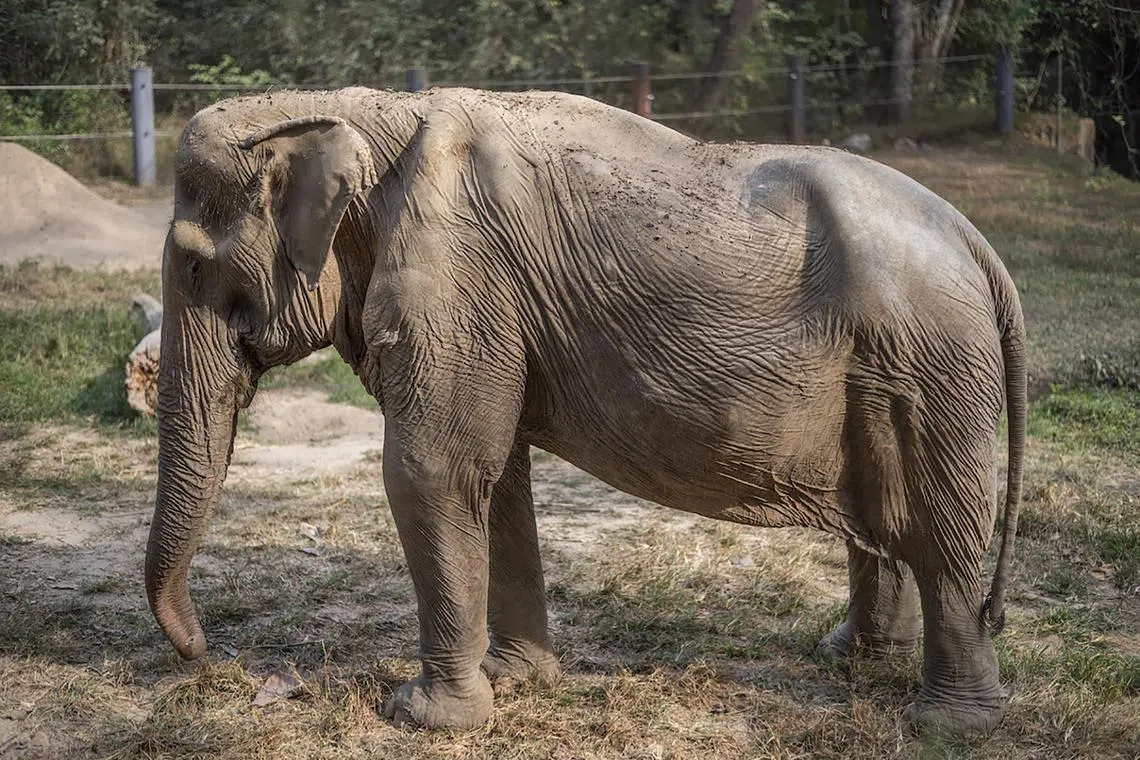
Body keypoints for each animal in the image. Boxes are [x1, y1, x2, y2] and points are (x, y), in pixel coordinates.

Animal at [144, 86, 1026, 736]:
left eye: (193, 269)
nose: (209, 654)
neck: (353, 110)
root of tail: (981, 246)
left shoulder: (458, 277)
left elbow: (431, 470)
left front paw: (425, 718)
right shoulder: (491, 307)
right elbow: (494, 477)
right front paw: (514, 680)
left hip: (932, 364)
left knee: (940, 530)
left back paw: (948, 725)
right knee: (888, 514)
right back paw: (850, 659)